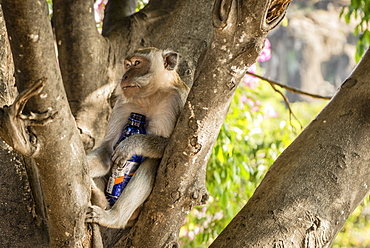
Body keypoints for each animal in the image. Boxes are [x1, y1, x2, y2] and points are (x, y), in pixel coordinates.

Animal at [85, 47, 189, 229]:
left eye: (137, 63)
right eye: (127, 65)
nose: (124, 76)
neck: (149, 97)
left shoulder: (178, 100)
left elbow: (174, 145)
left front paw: (131, 144)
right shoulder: (123, 104)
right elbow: (107, 150)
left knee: (152, 164)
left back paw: (113, 217)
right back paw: (100, 199)